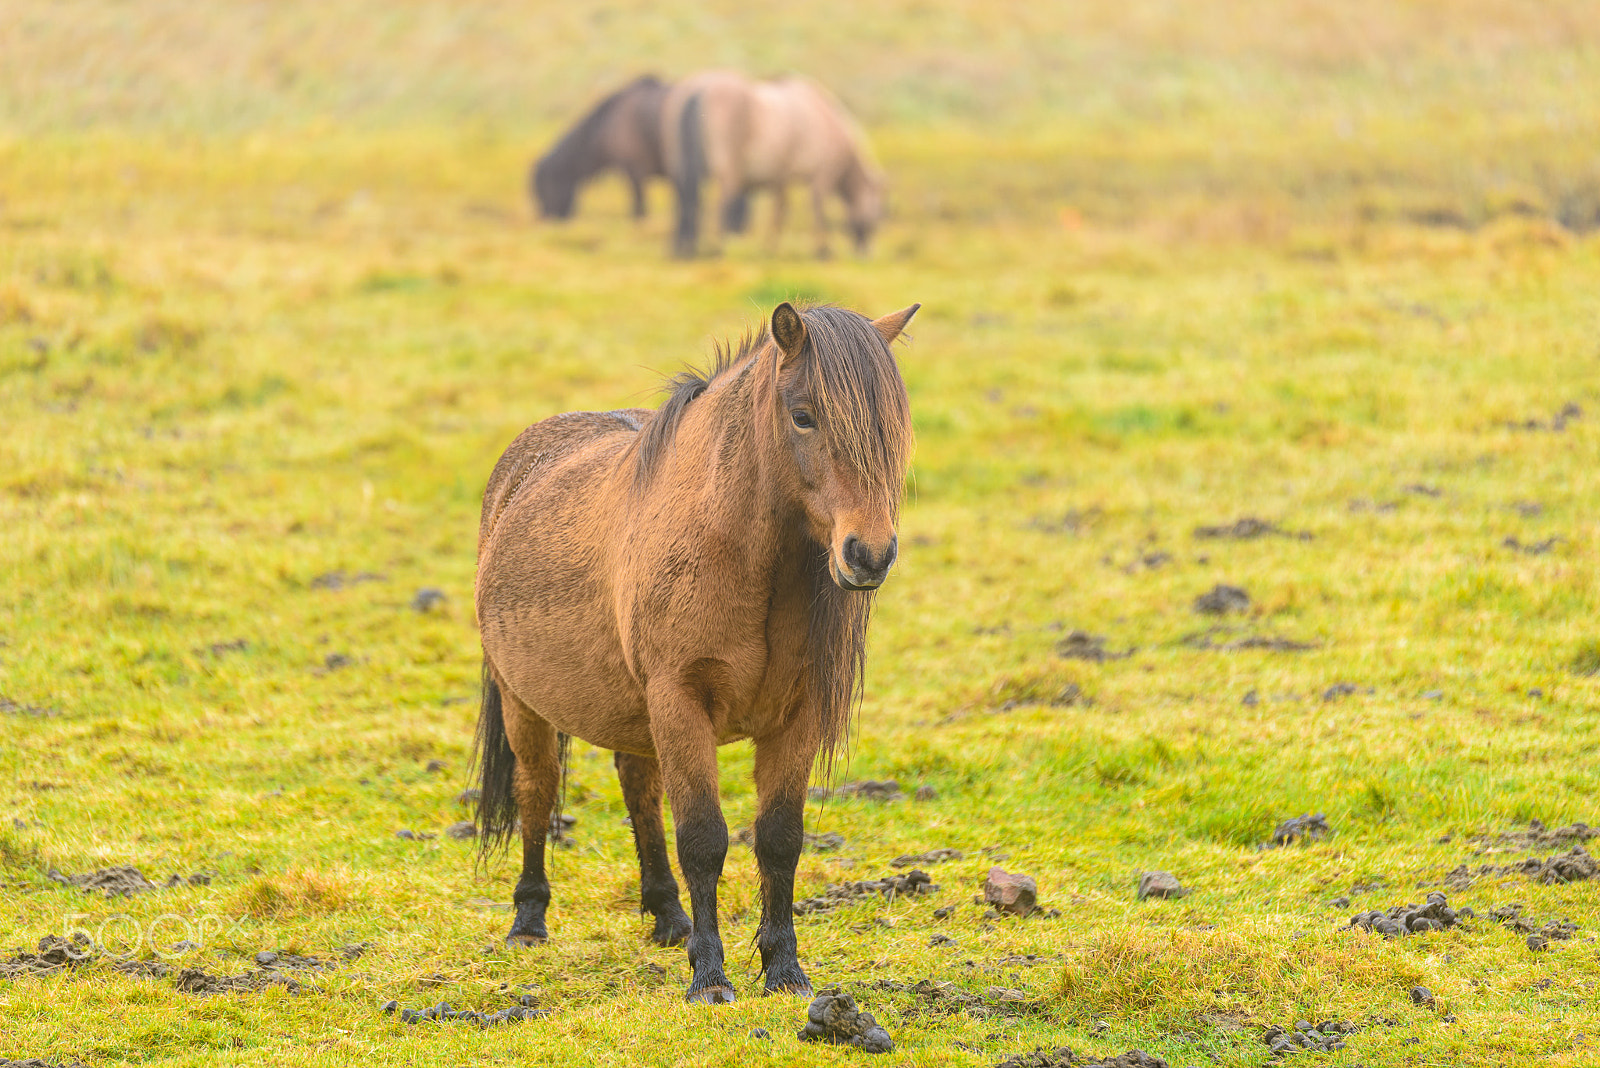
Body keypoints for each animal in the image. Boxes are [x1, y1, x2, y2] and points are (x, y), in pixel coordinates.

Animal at [470, 298, 915, 1004]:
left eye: (891, 424)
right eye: (803, 415)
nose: (868, 555)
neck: (736, 553)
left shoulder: (795, 716)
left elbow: (779, 840)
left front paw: (785, 971)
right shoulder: (681, 701)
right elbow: (703, 839)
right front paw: (709, 977)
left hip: (630, 714)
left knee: (639, 792)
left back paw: (667, 916)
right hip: (526, 704)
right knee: (537, 791)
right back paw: (529, 920)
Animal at [662, 71, 889, 260]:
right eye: (879, 212)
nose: (865, 252)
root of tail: (699, 90)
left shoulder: (778, 180)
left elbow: (776, 212)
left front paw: (769, 247)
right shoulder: (821, 176)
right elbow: (815, 211)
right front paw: (822, 250)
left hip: (683, 172)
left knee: (685, 204)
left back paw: (684, 250)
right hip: (728, 173)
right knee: (720, 207)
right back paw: (720, 247)